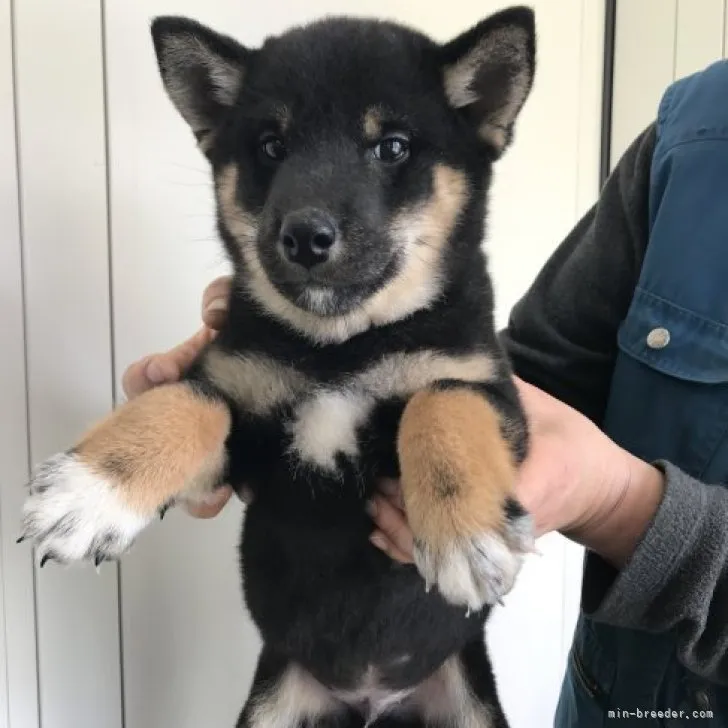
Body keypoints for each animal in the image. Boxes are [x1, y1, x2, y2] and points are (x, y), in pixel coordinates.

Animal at [19, 8, 536, 724]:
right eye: (271, 146)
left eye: (392, 147)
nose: (305, 237)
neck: (338, 348)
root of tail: (370, 700)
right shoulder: (238, 433)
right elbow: (187, 400)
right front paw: (90, 493)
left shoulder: (491, 390)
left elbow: (440, 403)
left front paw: (466, 535)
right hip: (273, 702)